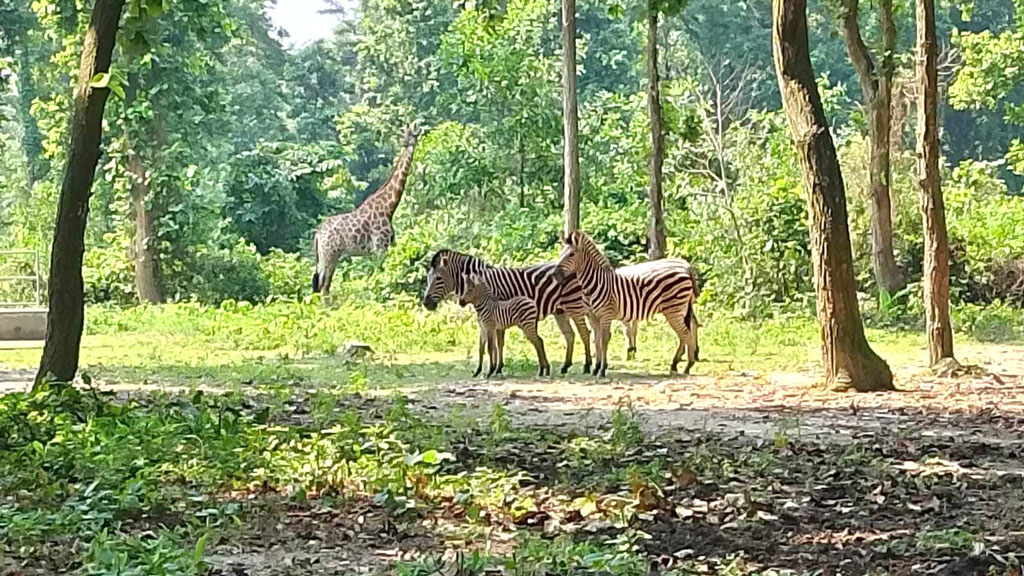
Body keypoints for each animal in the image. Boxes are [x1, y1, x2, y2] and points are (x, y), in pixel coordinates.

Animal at [313, 121, 421, 295]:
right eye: (409, 136)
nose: (407, 145)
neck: (388, 207)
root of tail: (317, 235)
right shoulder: (380, 247)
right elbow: (379, 273)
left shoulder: (386, 246)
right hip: (330, 255)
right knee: (324, 285)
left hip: (325, 257)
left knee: (322, 284)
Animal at [421, 249, 598, 375]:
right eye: (428, 278)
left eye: (438, 278)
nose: (426, 303)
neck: (485, 283)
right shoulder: (496, 319)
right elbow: (494, 344)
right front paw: (495, 368)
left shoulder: (497, 314)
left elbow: (495, 344)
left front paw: (494, 369)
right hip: (560, 311)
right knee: (570, 335)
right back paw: (565, 366)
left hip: (574, 305)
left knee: (584, 333)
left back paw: (587, 366)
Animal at [552, 228, 696, 377]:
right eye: (561, 254)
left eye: (571, 254)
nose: (554, 275)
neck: (594, 283)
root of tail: (686, 267)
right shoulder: (593, 316)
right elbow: (596, 340)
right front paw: (596, 368)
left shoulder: (606, 315)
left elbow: (603, 340)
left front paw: (602, 370)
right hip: (680, 310)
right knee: (685, 332)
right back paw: (676, 365)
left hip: (674, 310)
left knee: (686, 333)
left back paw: (687, 366)